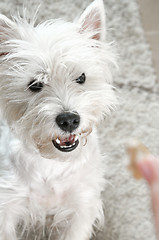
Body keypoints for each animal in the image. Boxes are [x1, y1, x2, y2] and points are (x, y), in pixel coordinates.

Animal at [0, 0, 116, 239]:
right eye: (35, 84)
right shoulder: (7, 204)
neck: (52, 164)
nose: (69, 120)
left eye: (81, 77)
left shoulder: (82, 205)